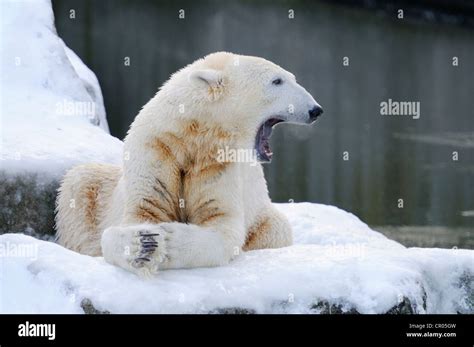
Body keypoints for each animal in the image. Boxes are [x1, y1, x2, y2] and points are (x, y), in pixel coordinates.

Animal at [54, 51, 322, 276]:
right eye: (277, 81)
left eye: (290, 77)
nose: (315, 109)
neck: (190, 138)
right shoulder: (156, 150)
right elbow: (142, 210)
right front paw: (143, 244)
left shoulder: (218, 164)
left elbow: (222, 224)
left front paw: (169, 239)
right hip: (96, 193)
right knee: (79, 183)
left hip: (262, 214)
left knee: (278, 229)